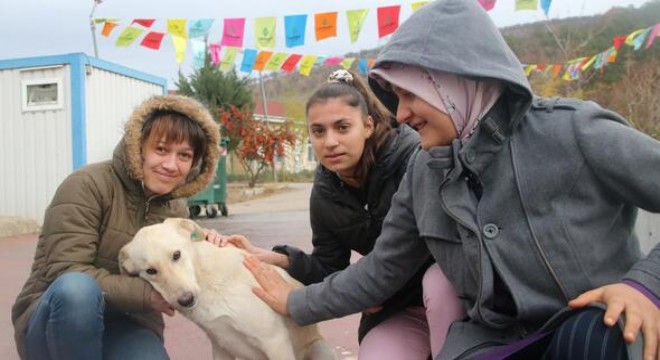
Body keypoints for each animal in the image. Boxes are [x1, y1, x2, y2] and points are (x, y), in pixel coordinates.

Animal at [118, 218, 336, 360]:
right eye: (151, 271)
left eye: (176, 255)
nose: (186, 300)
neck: (207, 281)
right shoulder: (221, 346)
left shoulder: (275, 342)